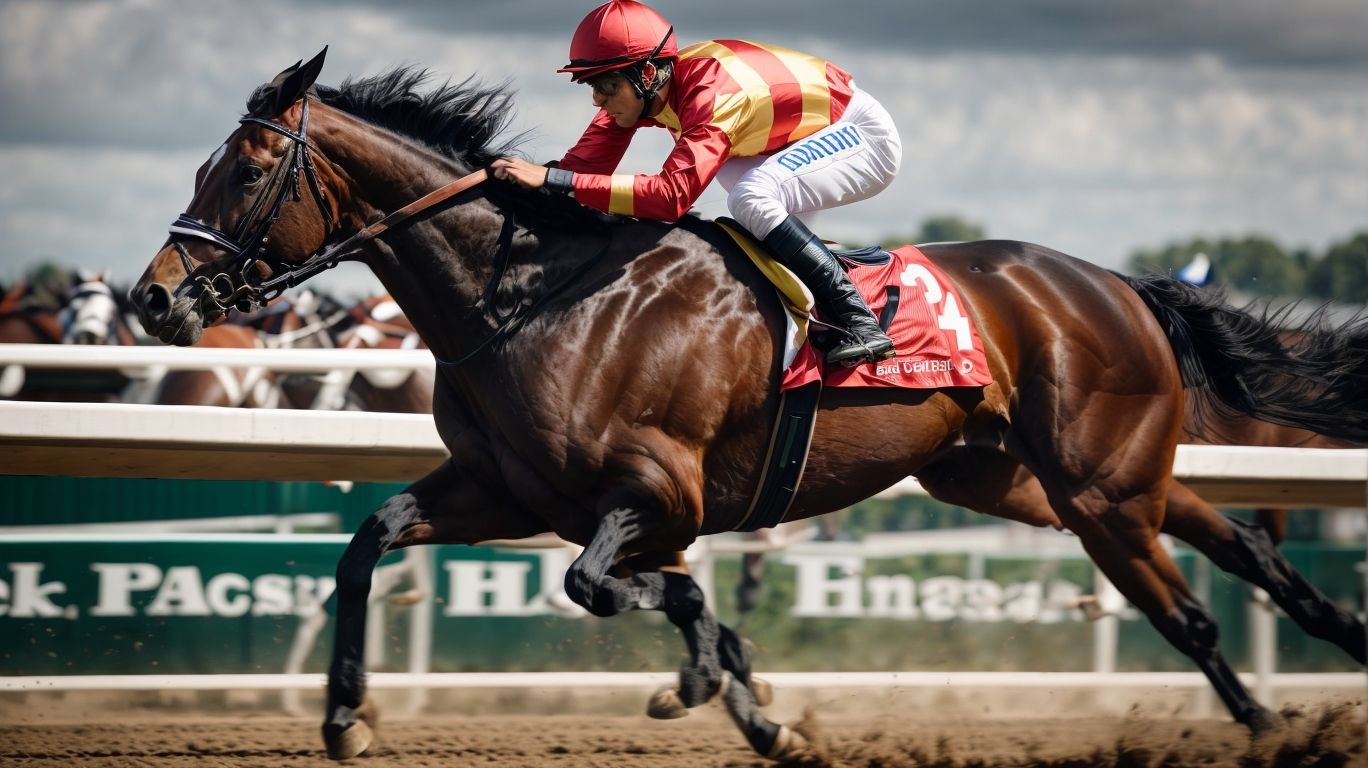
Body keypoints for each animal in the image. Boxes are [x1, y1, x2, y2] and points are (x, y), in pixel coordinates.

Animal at [128, 52, 1366, 761]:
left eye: (246, 171)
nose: (152, 297)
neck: (531, 295)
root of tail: (1119, 283)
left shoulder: (656, 492)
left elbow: (612, 585)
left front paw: (718, 680)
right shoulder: (505, 489)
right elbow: (368, 542)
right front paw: (344, 716)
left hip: (1097, 484)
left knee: (1190, 611)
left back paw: (1269, 725)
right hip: (1025, 477)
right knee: (1237, 542)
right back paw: (1320, 659)